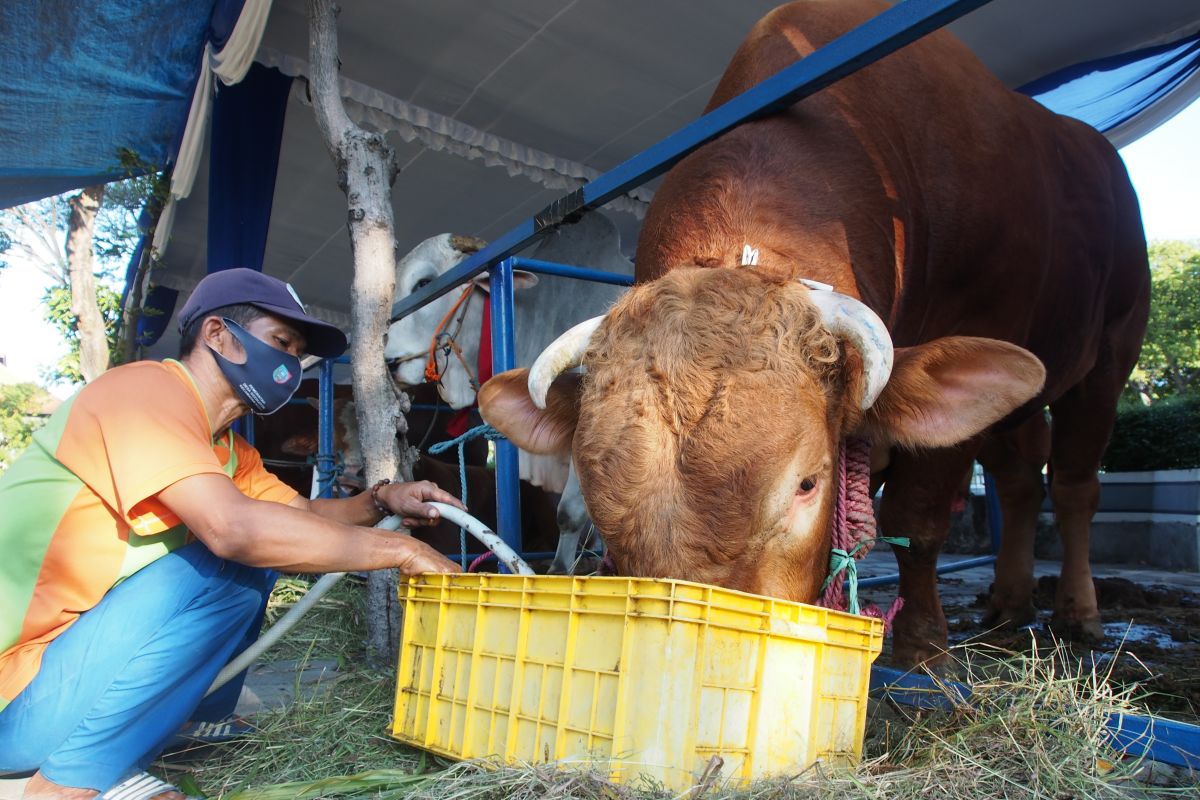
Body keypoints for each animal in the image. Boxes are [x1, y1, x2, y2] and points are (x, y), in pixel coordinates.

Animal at [472, 0, 1147, 671]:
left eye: (806, 484)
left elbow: (917, 518)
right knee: (1021, 478)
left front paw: (924, 650)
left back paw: (1078, 613)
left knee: (1074, 483)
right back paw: (1009, 603)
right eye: (597, 501)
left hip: (1112, 350)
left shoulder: (980, 323)